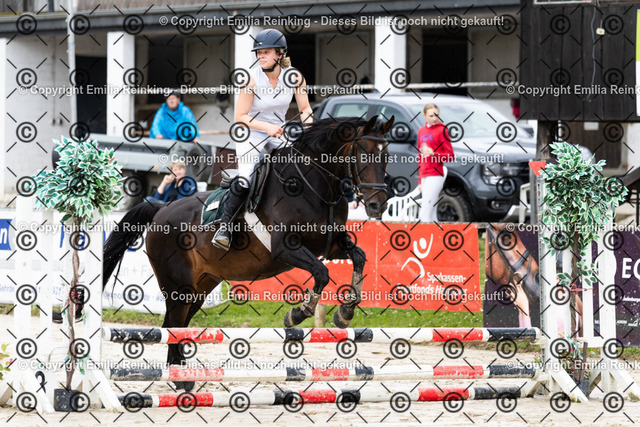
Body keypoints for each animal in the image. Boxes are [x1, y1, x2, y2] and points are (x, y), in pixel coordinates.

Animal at [102, 115, 394, 390]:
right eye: (363, 154)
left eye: (386, 156)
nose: (378, 205)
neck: (314, 187)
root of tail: (161, 209)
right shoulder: (286, 248)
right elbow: (321, 273)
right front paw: (298, 314)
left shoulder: (330, 246)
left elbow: (359, 258)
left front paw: (345, 312)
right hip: (178, 285)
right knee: (173, 324)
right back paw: (182, 380)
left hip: (202, 284)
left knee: (178, 325)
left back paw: (181, 378)